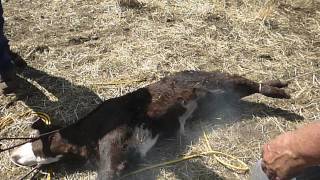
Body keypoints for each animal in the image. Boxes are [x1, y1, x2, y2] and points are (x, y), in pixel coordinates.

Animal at [9, 70, 290, 179]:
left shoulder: (115, 139)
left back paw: (280, 90)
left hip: (221, 82)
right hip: (219, 97)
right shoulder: (125, 157)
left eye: (33, 139)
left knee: (253, 83)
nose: (11, 154)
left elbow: (107, 170)